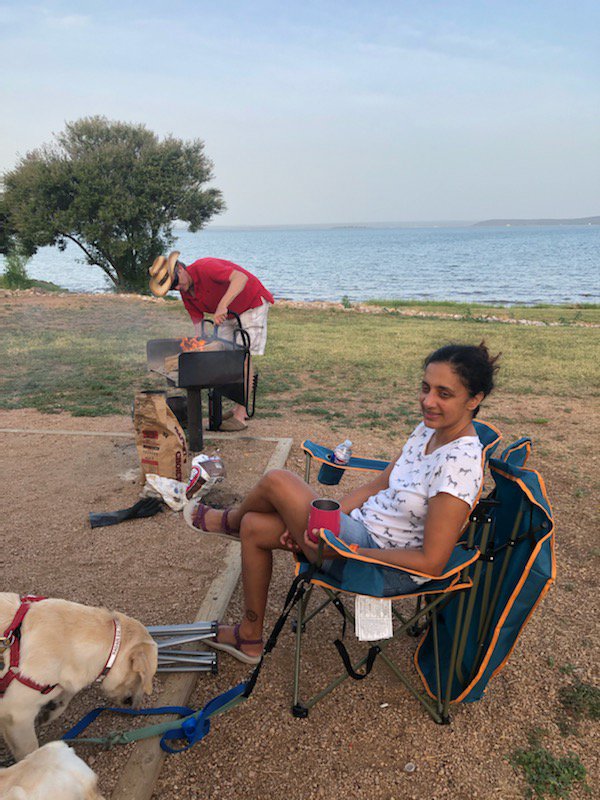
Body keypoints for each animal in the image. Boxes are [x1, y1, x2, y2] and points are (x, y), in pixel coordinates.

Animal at [0, 593, 157, 761]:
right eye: (141, 677)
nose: (134, 706)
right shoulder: (17, 716)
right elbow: (31, 751)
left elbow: (66, 692)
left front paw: (54, 708)